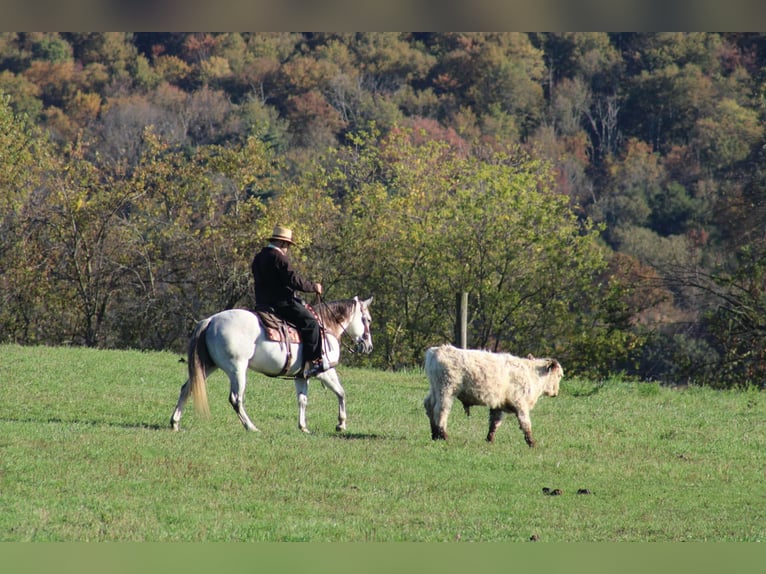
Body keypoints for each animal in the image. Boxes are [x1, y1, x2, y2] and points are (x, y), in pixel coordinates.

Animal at [170, 296, 373, 433]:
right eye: (367, 319)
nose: (368, 346)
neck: (326, 327)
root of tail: (210, 320)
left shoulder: (301, 376)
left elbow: (302, 400)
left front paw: (303, 427)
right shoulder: (325, 371)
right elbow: (341, 393)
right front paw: (341, 423)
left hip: (207, 366)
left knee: (187, 388)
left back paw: (175, 422)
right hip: (237, 369)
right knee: (236, 399)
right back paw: (251, 427)